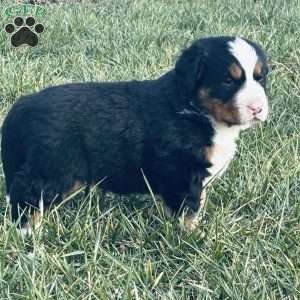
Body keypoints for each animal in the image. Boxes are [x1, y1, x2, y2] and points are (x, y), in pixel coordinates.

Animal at [1, 35, 270, 232]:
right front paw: (192, 237)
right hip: (54, 168)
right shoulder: (182, 171)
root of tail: (23, 104)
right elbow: (188, 208)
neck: (195, 110)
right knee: (25, 190)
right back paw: (27, 231)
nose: (258, 108)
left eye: (260, 77)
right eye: (228, 80)